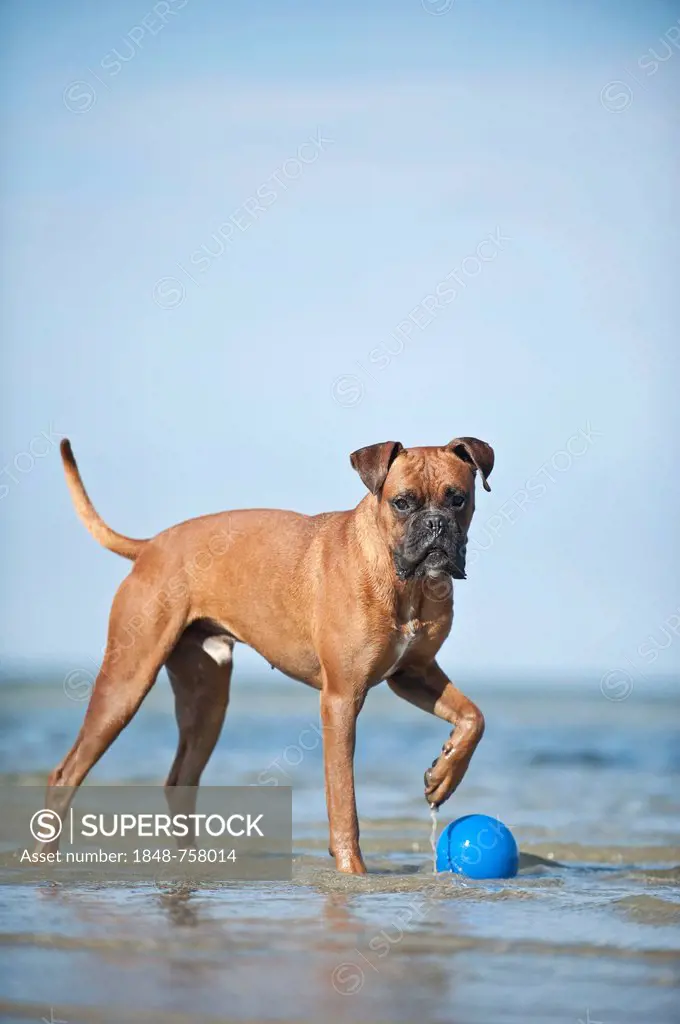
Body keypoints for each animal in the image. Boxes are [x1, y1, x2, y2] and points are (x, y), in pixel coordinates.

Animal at [43, 436, 493, 876]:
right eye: (402, 502)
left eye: (457, 498)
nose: (435, 524)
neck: (405, 582)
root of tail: (151, 547)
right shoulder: (342, 699)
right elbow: (343, 798)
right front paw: (352, 870)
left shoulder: (414, 673)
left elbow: (474, 717)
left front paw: (444, 775)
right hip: (126, 685)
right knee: (66, 774)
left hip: (207, 703)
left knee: (180, 781)